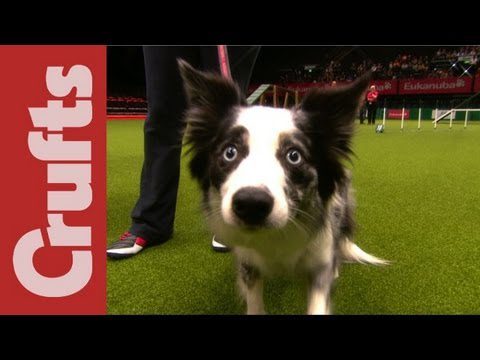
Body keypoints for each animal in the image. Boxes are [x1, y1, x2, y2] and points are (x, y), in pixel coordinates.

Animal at [178, 60, 388, 314]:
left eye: (294, 156)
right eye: (230, 152)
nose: (251, 204)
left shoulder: (320, 259)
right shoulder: (249, 263)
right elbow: (254, 299)